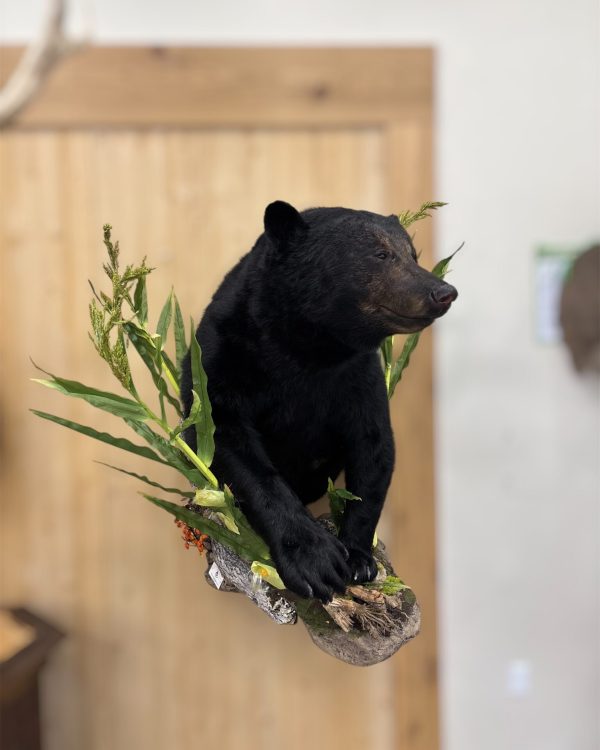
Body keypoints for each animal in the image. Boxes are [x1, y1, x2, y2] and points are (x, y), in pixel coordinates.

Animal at [181, 200, 457, 603]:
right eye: (381, 254)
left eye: (413, 254)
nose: (444, 291)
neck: (310, 348)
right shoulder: (221, 360)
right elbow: (228, 442)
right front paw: (316, 562)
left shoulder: (359, 378)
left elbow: (374, 452)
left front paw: (358, 556)